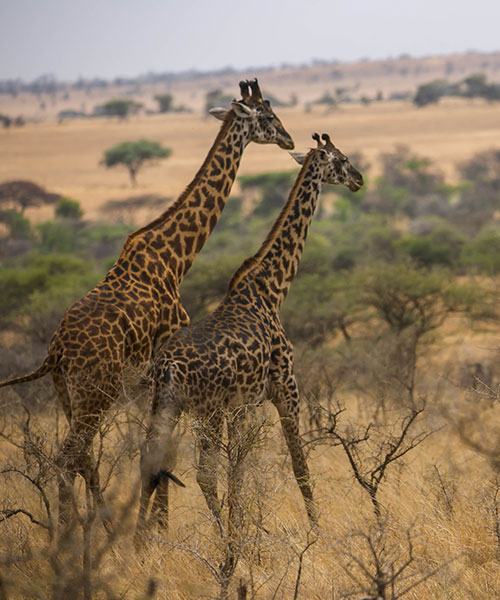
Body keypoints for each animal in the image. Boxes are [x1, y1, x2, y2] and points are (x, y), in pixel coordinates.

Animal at [0, 77, 294, 528]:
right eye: (267, 115)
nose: (289, 138)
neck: (176, 259)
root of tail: (56, 351)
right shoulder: (163, 367)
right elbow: (161, 454)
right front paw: (159, 529)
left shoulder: (146, 385)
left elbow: (152, 452)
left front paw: (153, 527)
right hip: (95, 393)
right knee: (67, 457)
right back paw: (77, 533)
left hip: (68, 394)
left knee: (81, 459)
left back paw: (90, 525)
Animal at [137, 132, 364, 536]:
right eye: (341, 158)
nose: (359, 179)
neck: (271, 289)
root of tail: (166, 367)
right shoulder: (285, 388)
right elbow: (299, 465)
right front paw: (314, 529)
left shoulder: (242, 405)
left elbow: (240, 468)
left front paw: (244, 521)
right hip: (205, 409)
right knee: (203, 473)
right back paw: (223, 539)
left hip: (165, 405)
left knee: (151, 464)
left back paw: (139, 541)